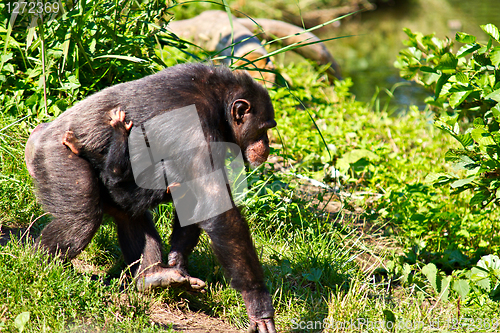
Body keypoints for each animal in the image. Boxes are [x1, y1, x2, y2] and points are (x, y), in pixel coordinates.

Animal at [24, 63, 278, 332]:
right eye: (263, 128)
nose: (267, 144)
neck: (219, 106)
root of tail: (37, 135)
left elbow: (195, 201)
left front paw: (177, 261)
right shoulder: (197, 131)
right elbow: (218, 210)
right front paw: (258, 305)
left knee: (131, 217)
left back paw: (153, 277)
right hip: (56, 159)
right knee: (79, 223)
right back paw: (39, 265)